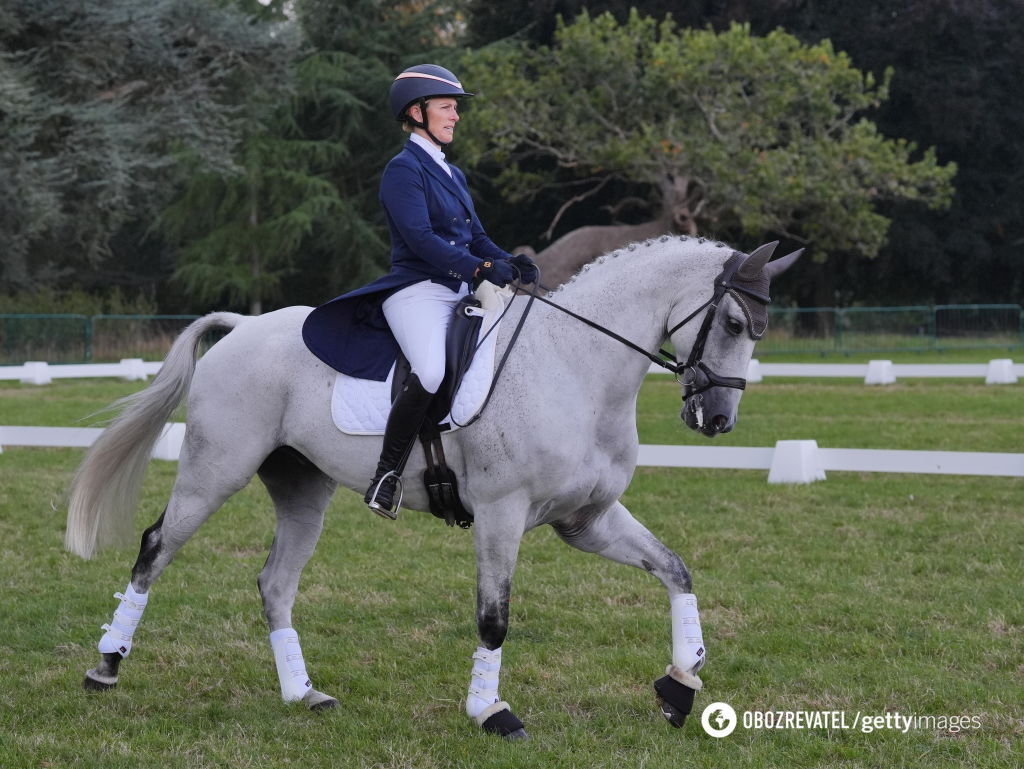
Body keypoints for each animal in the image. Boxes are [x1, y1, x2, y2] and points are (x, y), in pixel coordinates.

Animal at [66, 234, 798, 741]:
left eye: (758, 332)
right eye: (735, 324)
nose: (717, 419)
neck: (575, 366)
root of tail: (244, 328)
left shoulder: (587, 519)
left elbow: (676, 570)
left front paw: (681, 685)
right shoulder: (502, 513)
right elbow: (494, 617)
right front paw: (491, 710)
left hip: (303, 490)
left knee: (274, 583)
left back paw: (305, 693)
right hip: (215, 471)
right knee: (156, 547)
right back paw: (106, 666)